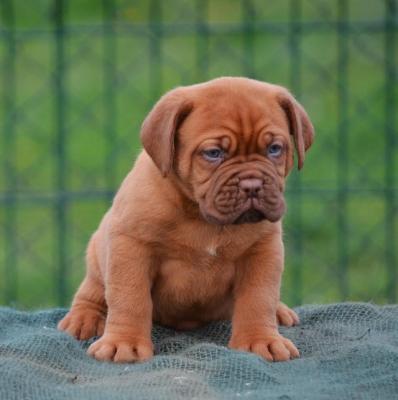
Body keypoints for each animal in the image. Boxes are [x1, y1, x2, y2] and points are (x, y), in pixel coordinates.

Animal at [58, 76, 314, 364]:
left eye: (274, 149)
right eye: (213, 153)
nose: (252, 185)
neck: (202, 217)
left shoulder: (262, 251)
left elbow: (259, 298)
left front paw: (261, 340)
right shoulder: (131, 247)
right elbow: (129, 297)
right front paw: (124, 342)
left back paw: (280, 311)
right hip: (96, 253)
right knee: (92, 291)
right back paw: (83, 318)